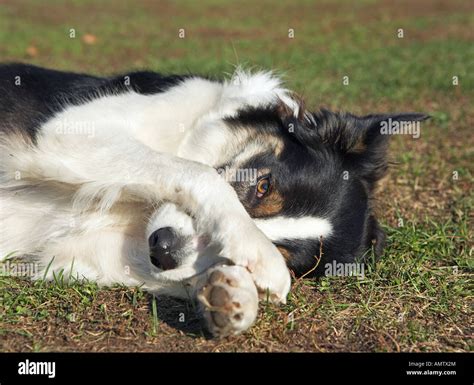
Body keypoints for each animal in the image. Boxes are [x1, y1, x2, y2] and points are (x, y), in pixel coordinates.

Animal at [0, 64, 428, 334]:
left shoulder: (83, 251)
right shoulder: (73, 130)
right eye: (263, 186)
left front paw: (234, 292)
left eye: (288, 256)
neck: (138, 208)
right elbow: (199, 172)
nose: (163, 248)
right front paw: (254, 253)